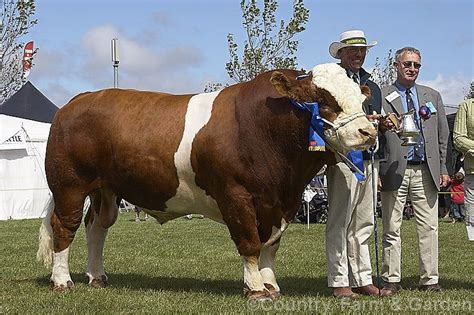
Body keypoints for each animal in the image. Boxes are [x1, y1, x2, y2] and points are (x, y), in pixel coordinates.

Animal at [37, 63, 376, 300]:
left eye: (360, 98)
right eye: (323, 99)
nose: (368, 132)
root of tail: (74, 103)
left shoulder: (280, 203)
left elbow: (271, 245)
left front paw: (271, 285)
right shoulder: (236, 195)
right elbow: (250, 242)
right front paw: (256, 289)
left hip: (105, 190)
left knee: (97, 226)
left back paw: (96, 277)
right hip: (69, 185)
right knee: (65, 227)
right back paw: (63, 281)